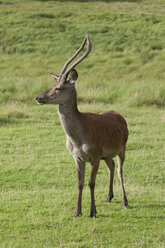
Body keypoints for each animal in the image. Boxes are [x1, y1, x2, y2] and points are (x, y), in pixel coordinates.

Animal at [35, 35, 129, 217]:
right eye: (52, 85)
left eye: (58, 88)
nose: (38, 97)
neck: (78, 139)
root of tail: (119, 115)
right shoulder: (77, 157)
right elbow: (80, 183)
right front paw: (77, 211)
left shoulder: (95, 155)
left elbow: (91, 183)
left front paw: (92, 211)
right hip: (107, 154)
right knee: (112, 166)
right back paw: (109, 197)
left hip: (122, 148)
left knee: (120, 171)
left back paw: (125, 202)